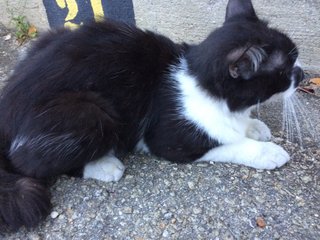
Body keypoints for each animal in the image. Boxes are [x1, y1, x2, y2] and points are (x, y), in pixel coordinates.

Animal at [0, 0, 304, 232]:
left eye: (295, 56)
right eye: (284, 69)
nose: (301, 74)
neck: (199, 78)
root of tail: (7, 108)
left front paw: (254, 126)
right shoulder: (170, 138)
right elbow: (227, 144)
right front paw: (268, 152)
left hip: (53, 36)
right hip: (92, 112)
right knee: (29, 163)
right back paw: (104, 165)